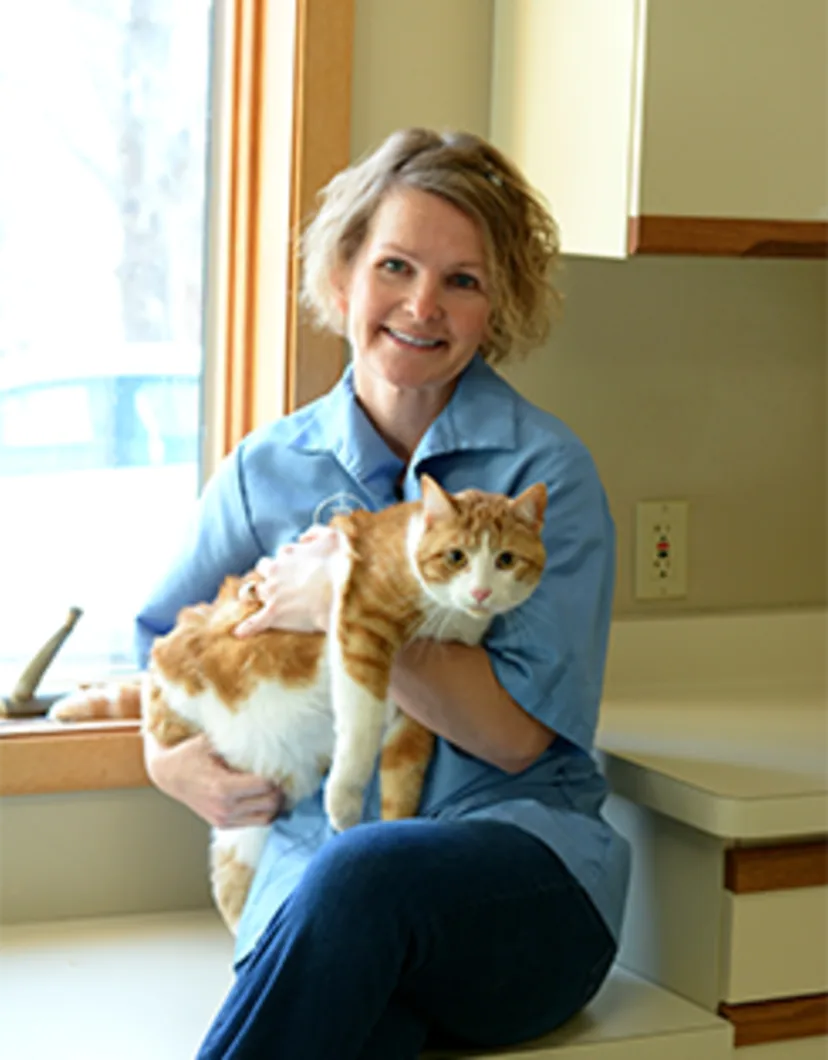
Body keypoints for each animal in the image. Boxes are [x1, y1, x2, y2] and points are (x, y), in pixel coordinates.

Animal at [50, 476, 542, 932]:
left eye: (505, 560)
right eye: (457, 557)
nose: (481, 593)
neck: (449, 616)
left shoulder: (419, 711)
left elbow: (404, 773)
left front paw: (390, 825)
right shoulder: (361, 635)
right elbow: (361, 729)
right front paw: (343, 801)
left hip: (246, 826)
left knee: (231, 887)